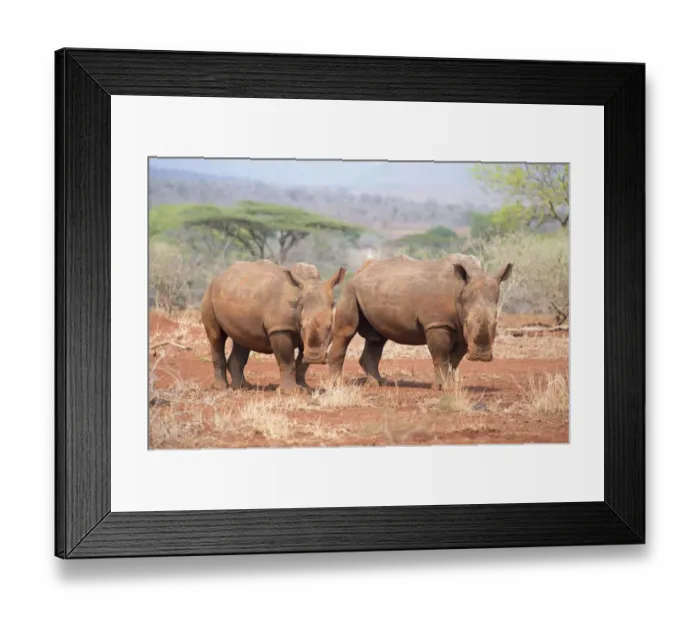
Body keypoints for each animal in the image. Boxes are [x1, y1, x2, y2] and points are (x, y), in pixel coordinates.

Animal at [201, 260, 346, 393]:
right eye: (303, 327)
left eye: (329, 327)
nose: (314, 358)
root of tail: (220, 276)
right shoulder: (279, 328)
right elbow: (287, 361)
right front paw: (289, 392)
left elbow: (301, 364)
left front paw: (304, 389)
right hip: (209, 294)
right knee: (216, 337)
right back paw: (221, 387)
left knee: (242, 340)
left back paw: (242, 387)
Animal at [328, 255, 512, 389]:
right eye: (467, 322)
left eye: (496, 323)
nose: (481, 356)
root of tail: (360, 270)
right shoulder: (437, 323)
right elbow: (441, 355)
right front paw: (441, 388)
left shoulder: (459, 329)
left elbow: (455, 359)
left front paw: (451, 386)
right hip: (350, 288)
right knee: (346, 332)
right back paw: (337, 385)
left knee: (377, 339)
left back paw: (377, 384)